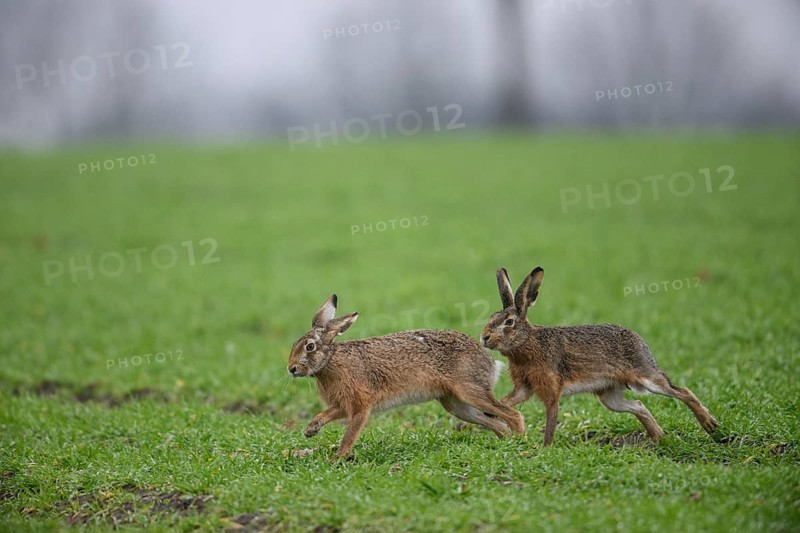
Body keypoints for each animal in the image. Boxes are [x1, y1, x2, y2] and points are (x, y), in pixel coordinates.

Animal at [287, 294, 525, 458]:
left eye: (309, 347)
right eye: (295, 344)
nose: (291, 369)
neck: (329, 361)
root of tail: (490, 360)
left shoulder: (361, 406)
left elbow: (350, 434)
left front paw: (337, 459)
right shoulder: (343, 404)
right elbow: (326, 413)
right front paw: (310, 430)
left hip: (470, 390)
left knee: (513, 415)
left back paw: (521, 439)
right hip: (456, 404)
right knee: (497, 423)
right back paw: (505, 442)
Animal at [480, 267, 718, 446]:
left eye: (509, 322)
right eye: (492, 317)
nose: (484, 337)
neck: (527, 343)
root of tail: (638, 339)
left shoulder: (551, 391)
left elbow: (550, 421)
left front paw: (545, 448)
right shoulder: (525, 387)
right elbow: (508, 400)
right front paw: (492, 413)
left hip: (646, 377)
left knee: (681, 391)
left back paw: (709, 424)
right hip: (609, 397)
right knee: (638, 405)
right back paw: (658, 437)